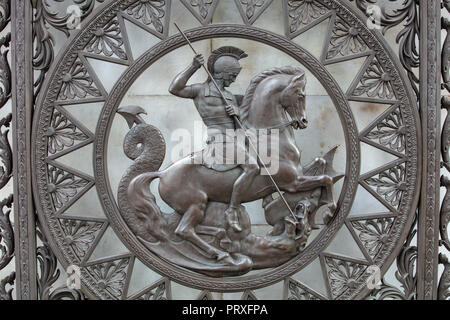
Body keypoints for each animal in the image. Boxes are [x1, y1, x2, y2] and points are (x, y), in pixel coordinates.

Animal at [121, 65, 336, 268]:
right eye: (301, 94)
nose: (303, 121)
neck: (270, 139)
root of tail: (163, 173)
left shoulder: (296, 177)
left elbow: (323, 168)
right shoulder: (292, 182)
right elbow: (326, 179)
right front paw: (330, 211)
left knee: (184, 229)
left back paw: (222, 239)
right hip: (196, 203)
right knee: (183, 231)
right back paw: (222, 252)